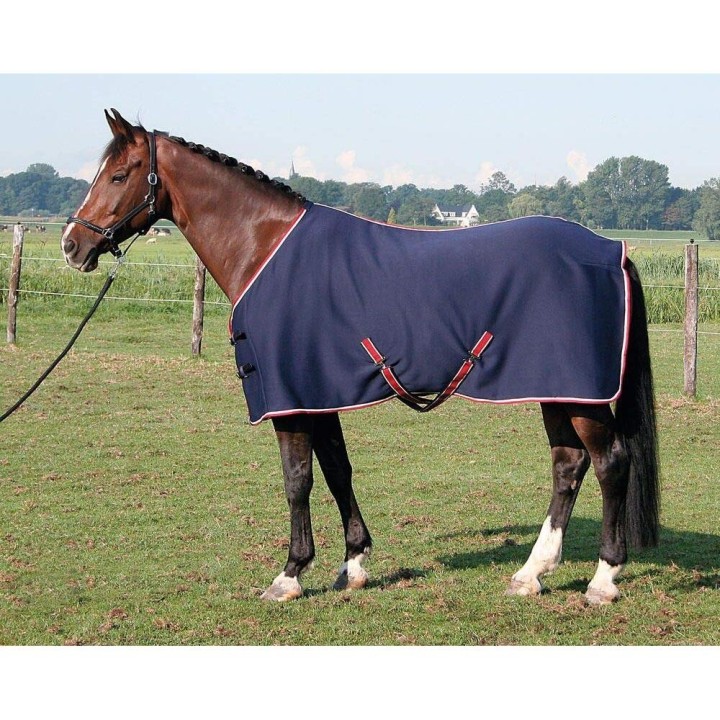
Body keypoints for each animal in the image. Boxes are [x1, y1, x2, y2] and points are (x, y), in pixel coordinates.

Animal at [61, 109, 660, 604]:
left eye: (120, 176)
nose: (71, 244)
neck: (266, 247)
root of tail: (611, 251)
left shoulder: (291, 401)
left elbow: (297, 479)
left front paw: (289, 574)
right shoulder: (318, 394)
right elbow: (337, 471)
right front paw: (352, 565)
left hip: (579, 395)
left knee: (609, 464)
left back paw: (603, 579)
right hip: (555, 389)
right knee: (568, 466)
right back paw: (531, 574)